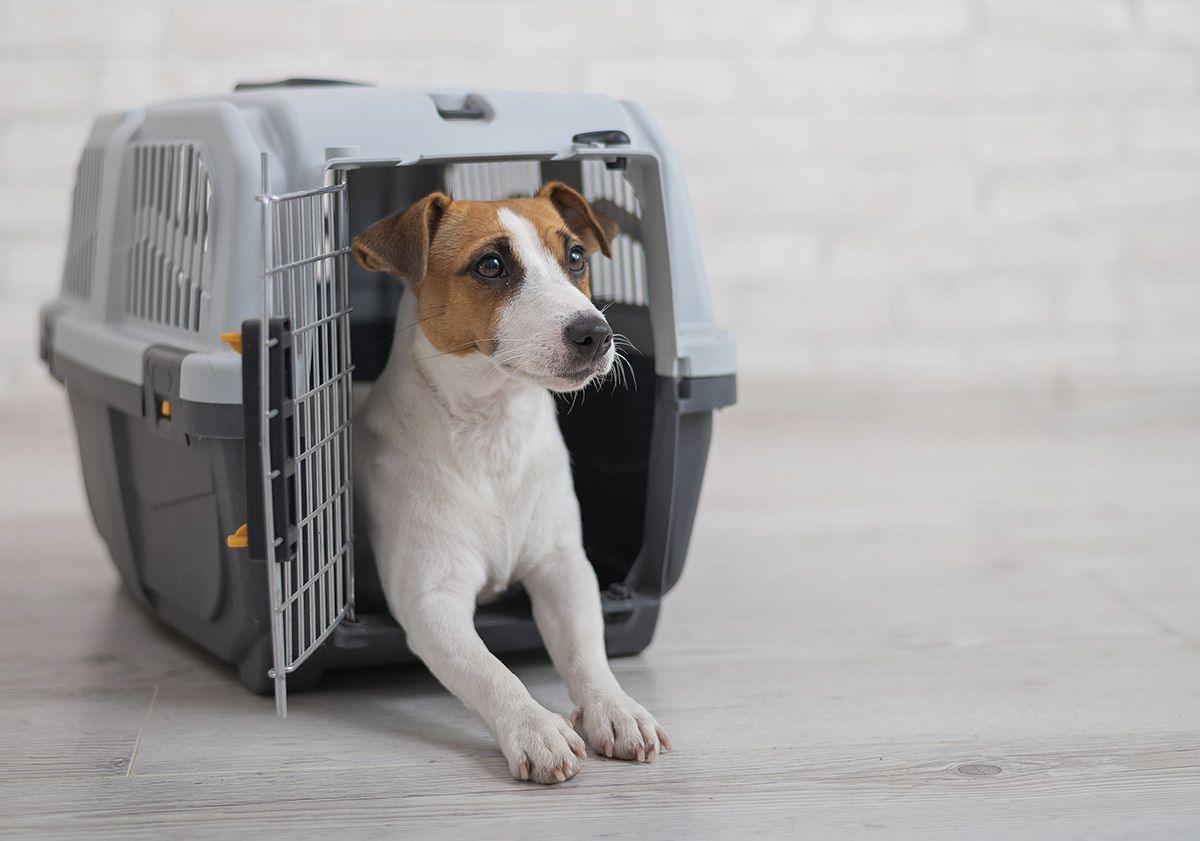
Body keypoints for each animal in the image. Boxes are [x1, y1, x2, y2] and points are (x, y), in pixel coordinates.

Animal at [350, 182, 672, 782]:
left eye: (576, 257)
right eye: (491, 265)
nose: (596, 333)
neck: (493, 428)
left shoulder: (562, 566)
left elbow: (585, 648)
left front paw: (615, 708)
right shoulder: (431, 598)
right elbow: (489, 669)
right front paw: (536, 726)